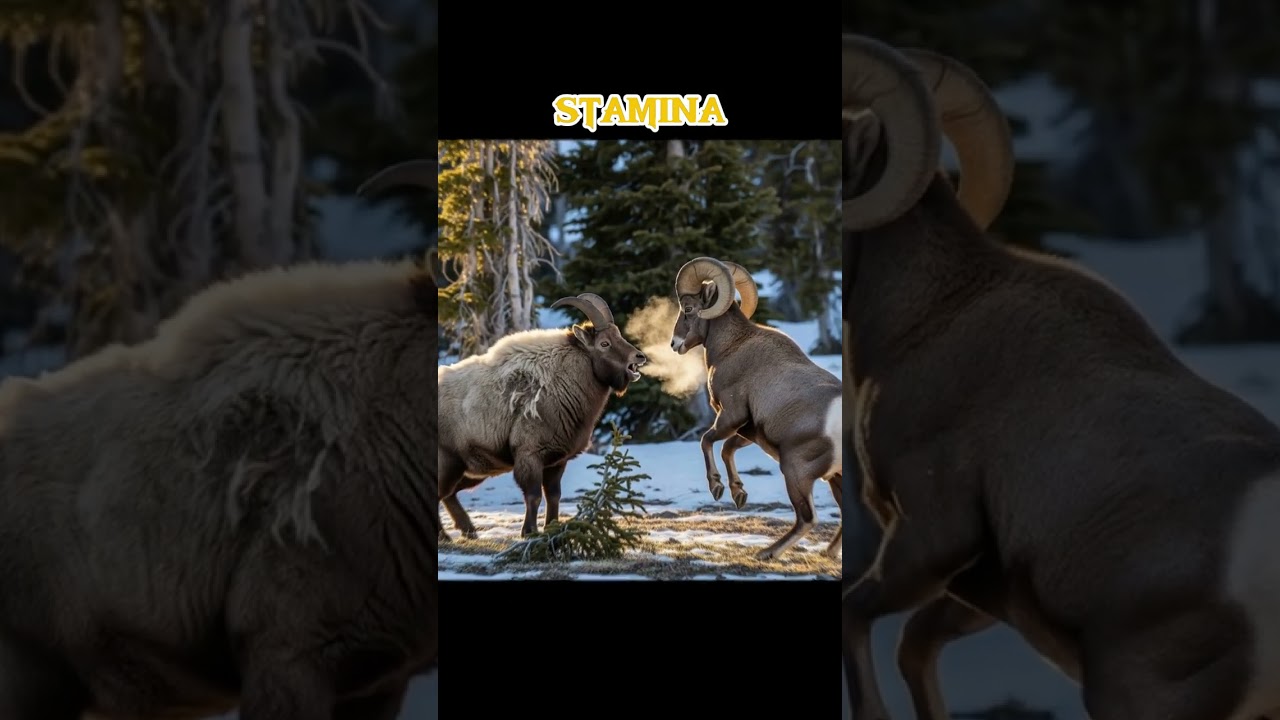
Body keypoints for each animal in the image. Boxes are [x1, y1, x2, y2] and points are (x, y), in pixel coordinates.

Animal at [437, 293, 648, 539]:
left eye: (619, 335)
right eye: (604, 343)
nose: (639, 357)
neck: (560, 381)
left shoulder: (557, 461)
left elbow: (553, 495)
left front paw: (552, 528)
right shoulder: (530, 455)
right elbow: (534, 496)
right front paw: (529, 532)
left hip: (471, 470)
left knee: (448, 494)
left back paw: (467, 530)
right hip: (448, 462)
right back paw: (447, 534)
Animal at [669, 257, 842, 561]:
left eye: (688, 308)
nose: (674, 344)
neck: (732, 346)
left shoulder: (730, 416)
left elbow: (707, 441)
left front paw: (717, 487)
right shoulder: (748, 432)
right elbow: (727, 449)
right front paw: (739, 494)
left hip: (796, 470)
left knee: (807, 518)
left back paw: (766, 553)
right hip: (836, 478)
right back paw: (828, 553)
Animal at [841, 32, 1280, 720]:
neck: (929, 314)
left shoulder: (929, 539)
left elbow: (857, 619)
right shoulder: (982, 595)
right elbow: (915, 648)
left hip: (1135, 696)